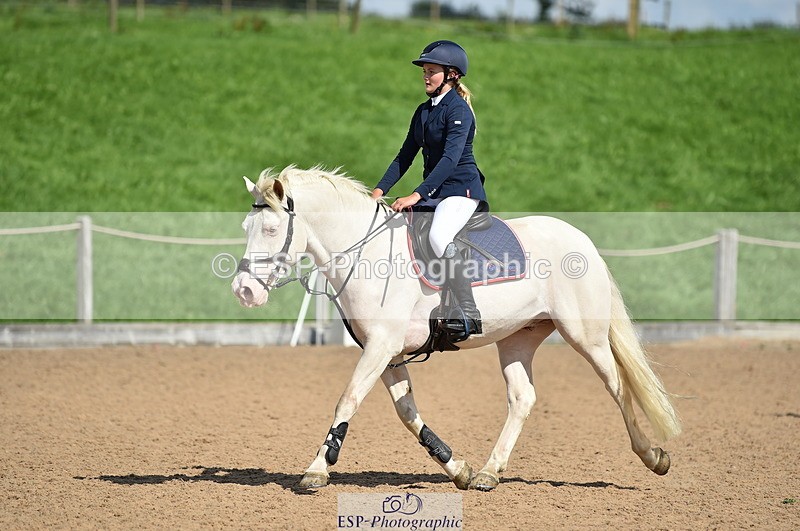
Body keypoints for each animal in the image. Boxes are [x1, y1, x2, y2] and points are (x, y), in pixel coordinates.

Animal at [231, 165, 681, 491]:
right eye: (245, 229)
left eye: (271, 229)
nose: (244, 291)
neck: (367, 251)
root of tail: (581, 237)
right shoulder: (388, 353)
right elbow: (407, 413)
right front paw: (457, 467)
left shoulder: (380, 347)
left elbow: (347, 400)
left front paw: (317, 469)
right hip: (517, 339)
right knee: (523, 398)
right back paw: (488, 473)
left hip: (585, 336)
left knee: (617, 386)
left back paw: (653, 456)